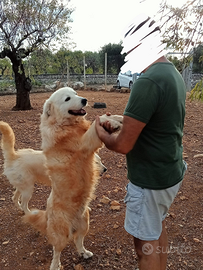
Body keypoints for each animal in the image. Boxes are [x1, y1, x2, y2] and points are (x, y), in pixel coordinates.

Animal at [23, 87, 123, 268]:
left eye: (76, 93)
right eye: (67, 99)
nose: (84, 100)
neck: (64, 125)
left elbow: (101, 118)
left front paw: (117, 119)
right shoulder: (85, 143)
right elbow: (95, 125)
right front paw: (111, 121)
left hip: (85, 222)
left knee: (78, 241)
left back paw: (84, 253)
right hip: (61, 233)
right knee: (57, 250)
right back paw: (55, 266)